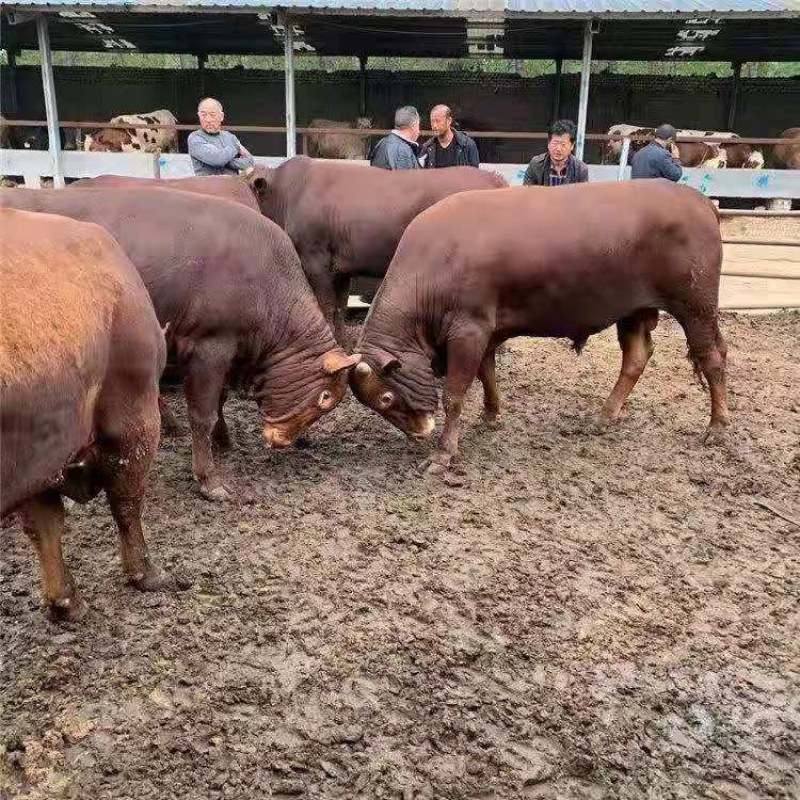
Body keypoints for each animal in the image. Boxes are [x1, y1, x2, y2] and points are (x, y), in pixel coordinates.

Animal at [1, 208, 167, 620]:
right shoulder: (134, 422)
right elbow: (127, 501)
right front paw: (146, 574)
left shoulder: (39, 451)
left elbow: (45, 525)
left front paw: (65, 602)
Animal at [2, 188, 360, 500]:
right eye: (325, 397)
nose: (282, 440)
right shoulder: (209, 346)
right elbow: (203, 413)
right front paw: (208, 478)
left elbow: (220, 400)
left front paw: (223, 439)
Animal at [245, 156, 506, 340]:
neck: (292, 192)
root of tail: (492, 178)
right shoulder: (341, 268)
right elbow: (339, 309)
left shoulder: (315, 260)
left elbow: (326, 308)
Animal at [350, 181, 724, 476]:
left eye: (386, 397)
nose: (419, 433)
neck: (437, 263)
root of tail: (699, 200)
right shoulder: (487, 331)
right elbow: (487, 373)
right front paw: (491, 414)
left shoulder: (468, 331)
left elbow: (454, 395)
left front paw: (443, 454)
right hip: (633, 310)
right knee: (636, 357)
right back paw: (605, 415)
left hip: (696, 306)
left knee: (712, 357)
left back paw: (717, 425)